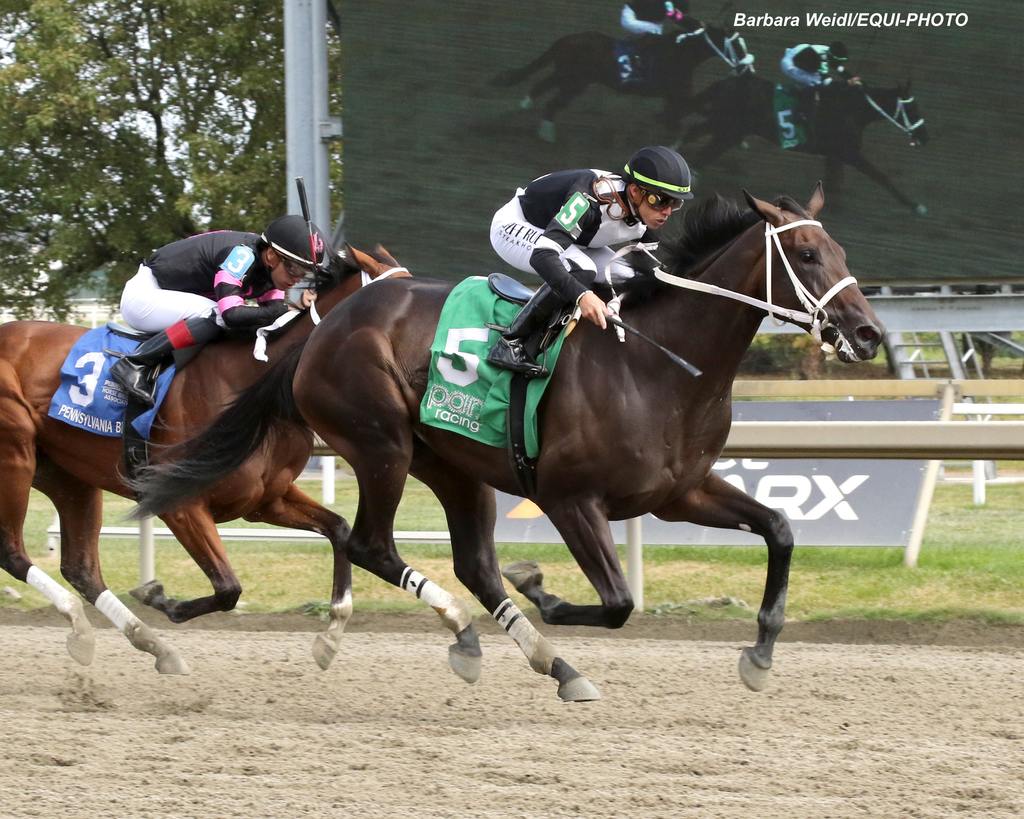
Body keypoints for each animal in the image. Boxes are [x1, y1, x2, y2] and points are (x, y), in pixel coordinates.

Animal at [1, 244, 419, 679]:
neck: (251, 388)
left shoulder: (266, 499)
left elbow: (338, 529)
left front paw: (331, 636)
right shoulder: (179, 504)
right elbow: (229, 588)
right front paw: (158, 597)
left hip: (68, 476)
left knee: (81, 568)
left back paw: (148, 643)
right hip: (15, 455)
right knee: (12, 552)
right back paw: (81, 623)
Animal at [130, 182, 880, 700]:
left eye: (843, 251)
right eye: (807, 254)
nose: (869, 333)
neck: (655, 362)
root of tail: (320, 330)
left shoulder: (679, 491)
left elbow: (779, 527)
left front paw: (760, 654)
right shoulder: (570, 498)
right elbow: (618, 603)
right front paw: (543, 588)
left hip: (451, 464)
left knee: (472, 565)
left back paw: (536, 658)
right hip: (381, 446)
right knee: (371, 544)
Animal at [495, 24, 753, 143]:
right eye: (737, 46)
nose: (746, 68)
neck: (681, 54)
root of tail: (566, 40)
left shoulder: (673, 95)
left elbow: (678, 115)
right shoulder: (678, 94)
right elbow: (692, 108)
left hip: (569, 77)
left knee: (544, 87)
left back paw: (526, 109)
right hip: (575, 80)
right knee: (551, 99)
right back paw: (546, 134)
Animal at [684, 74, 933, 213]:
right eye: (912, 108)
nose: (924, 136)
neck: (852, 109)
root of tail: (725, 84)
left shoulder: (835, 155)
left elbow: (833, 182)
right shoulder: (849, 153)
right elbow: (882, 177)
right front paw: (916, 206)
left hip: (722, 127)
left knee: (694, 136)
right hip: (728, 132)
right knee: (700, 153)